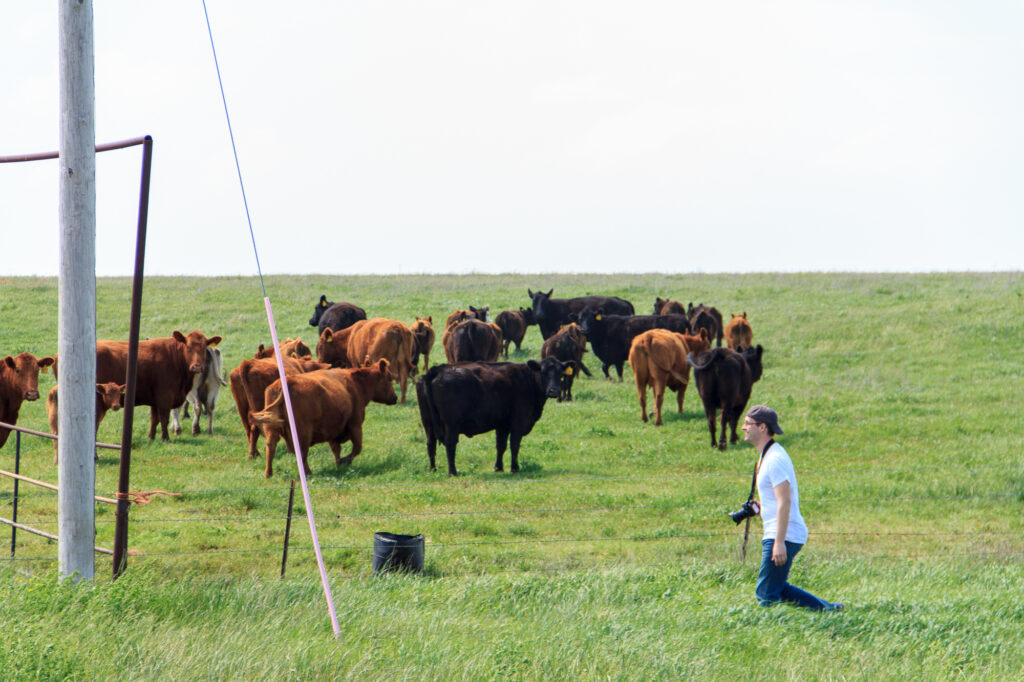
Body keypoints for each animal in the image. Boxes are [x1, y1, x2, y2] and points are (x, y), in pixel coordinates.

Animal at [91, 329, 220, 440]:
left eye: (204, 348)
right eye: (188, 347)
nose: (197, 367)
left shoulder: (154, 399)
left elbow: (154, 419)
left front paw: (151, 437)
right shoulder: (165, 396)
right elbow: (164, 418)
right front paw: (165, 438)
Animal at [249, 358, 397, 475]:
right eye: (389, 378)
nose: (395, 398)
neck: (356, 383)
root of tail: (285, 383)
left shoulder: (333, 430)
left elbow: (337, 449)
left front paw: (338, 464)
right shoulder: (355, 425)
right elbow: (357, 448)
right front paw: (344, 461)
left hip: (272, 428)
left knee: (271, 446)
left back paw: (268, 473)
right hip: (302, 432)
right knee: (302, 453)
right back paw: (308, 472)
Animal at [415, 352, 577, 475]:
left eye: (560, 373)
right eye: (543, 372)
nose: (554, 391)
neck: (527, 379)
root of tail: (437, 369)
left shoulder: (502, 424)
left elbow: (501, 446)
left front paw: (498, 467)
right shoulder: (518, 421)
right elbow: (514, 444)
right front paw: (515, 468)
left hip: (427, 422)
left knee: (430, 444)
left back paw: (433, 469)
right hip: (452, 424)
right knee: (450, 444)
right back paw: (452, 471)